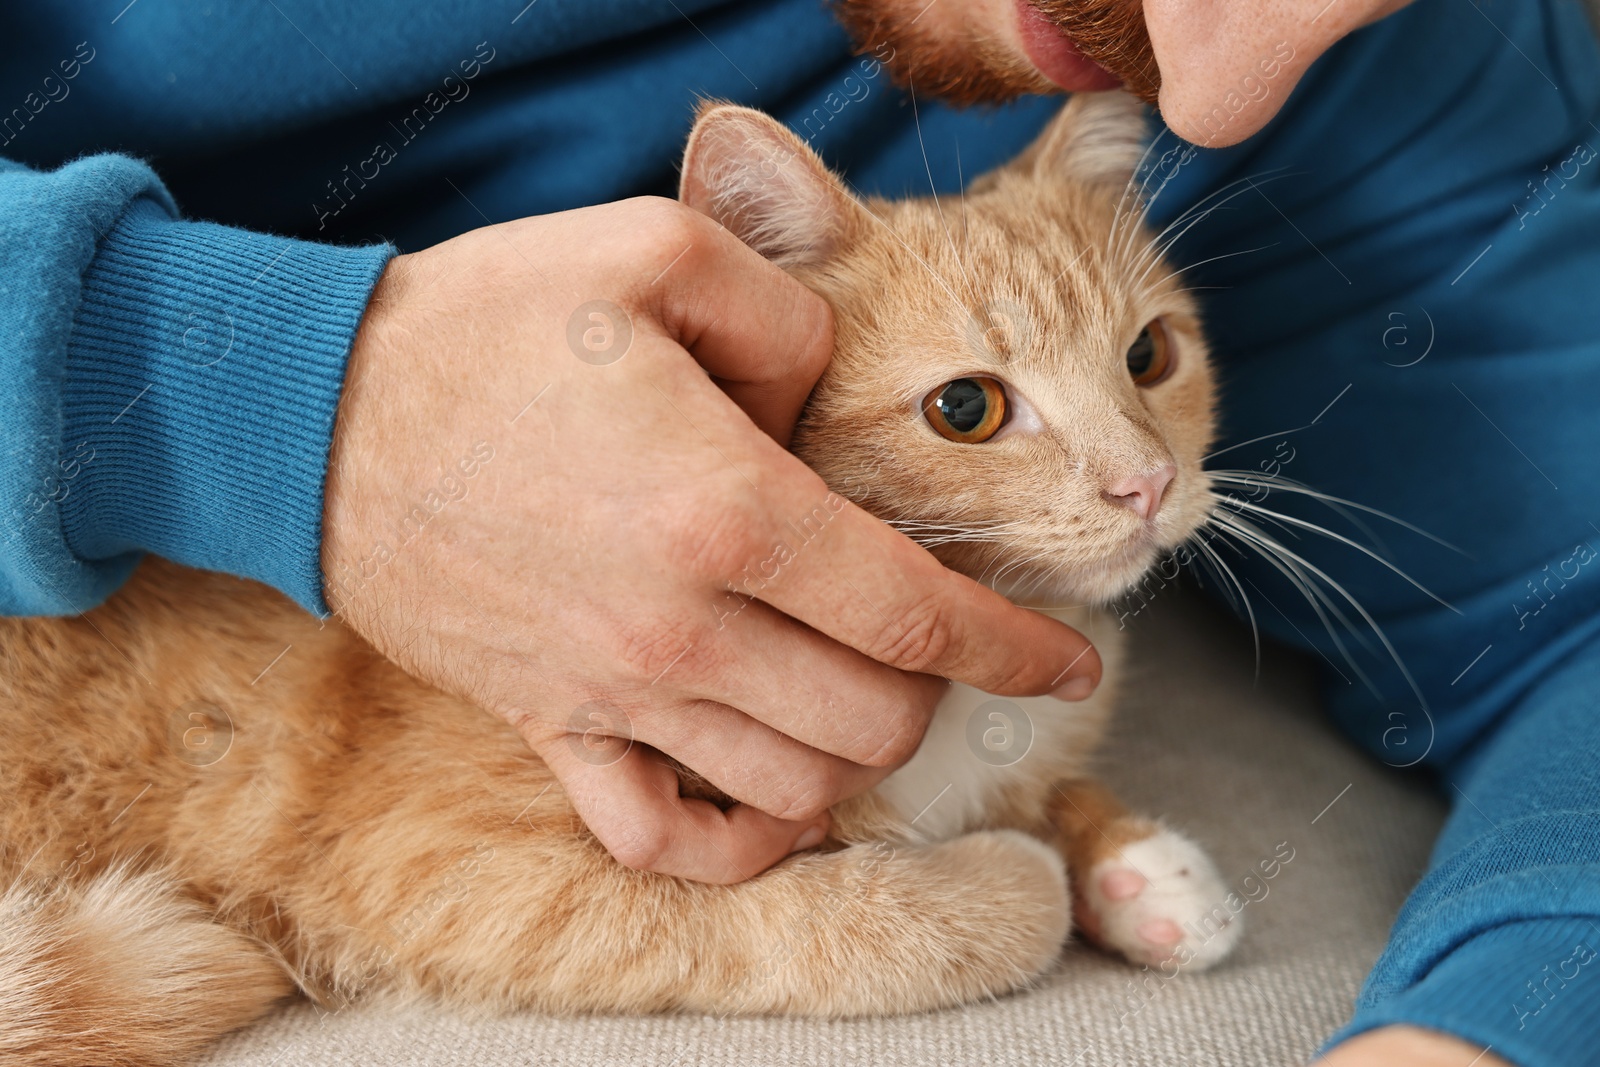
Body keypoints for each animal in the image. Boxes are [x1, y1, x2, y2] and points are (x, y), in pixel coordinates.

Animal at [0, 93, 1235, 1067]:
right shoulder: (467, 875)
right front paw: (1025, 879)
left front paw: (1136, 864)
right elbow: (828, 922)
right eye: (966, 407)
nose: (1146, 482)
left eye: (1148, 357)